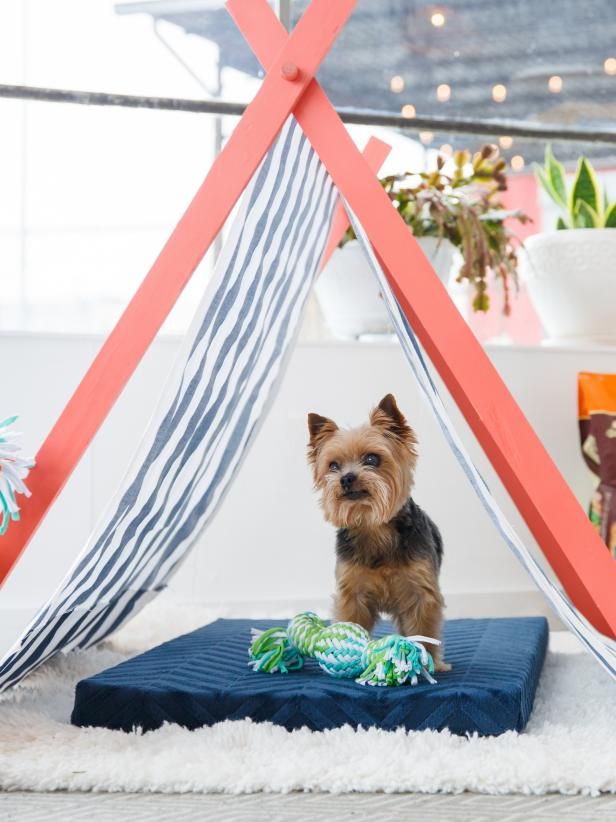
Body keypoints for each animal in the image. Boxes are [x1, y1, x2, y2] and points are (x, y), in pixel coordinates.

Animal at [310, 396, 450, 672]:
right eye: (333, 466)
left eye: (372, 459)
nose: (346, 478)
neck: (373, 526)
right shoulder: (352, 594)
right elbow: (351, 622)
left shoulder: (420, 593)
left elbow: (423, 630)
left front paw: (426, 661)